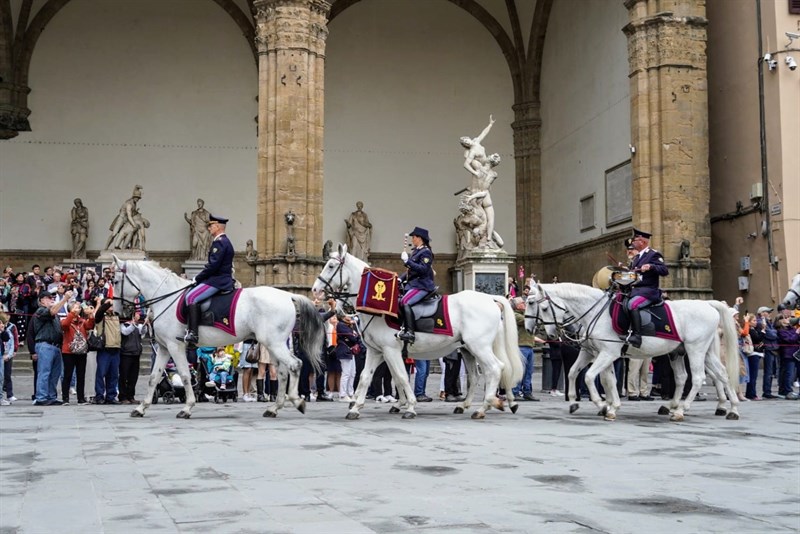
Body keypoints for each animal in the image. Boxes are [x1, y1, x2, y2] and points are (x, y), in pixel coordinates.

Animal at [111, 258, 324, 420]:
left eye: (115, 281)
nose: (117, 312)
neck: (166, 297)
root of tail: (288, 296)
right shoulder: (164, 348)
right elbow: (154, 377)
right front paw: (140, 408)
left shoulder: (175, 346)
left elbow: (186, 376)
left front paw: (186, 408)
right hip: (272, 344)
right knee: (282, 372)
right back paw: (274, 408)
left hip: (274, 343)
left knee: (294, 365)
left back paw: (297, 401)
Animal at [310, 245, 520, 420]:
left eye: (330, 266)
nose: (315, 290)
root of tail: (490, 298)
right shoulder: (377, 351)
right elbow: (366, 378)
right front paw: (356, 407)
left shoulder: (390, 350)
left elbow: (401, 377)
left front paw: (410, 406)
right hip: (469, 349)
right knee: (477, 376)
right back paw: (472, 404)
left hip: (479, 347)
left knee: (495, 369)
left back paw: (484, 407)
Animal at [520, 284, 740, 422]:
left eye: (541, 306)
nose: (532, 329)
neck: (595, 313)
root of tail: (708, 304)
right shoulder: (592, 352)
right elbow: (582, 374)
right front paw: (585, 403)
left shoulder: (607, 353)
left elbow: (592, 377)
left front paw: (603, 405)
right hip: (688, 352)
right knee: (711, 374)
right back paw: (729, 408)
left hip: (696, 349)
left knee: (698, 377)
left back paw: (682, 410)